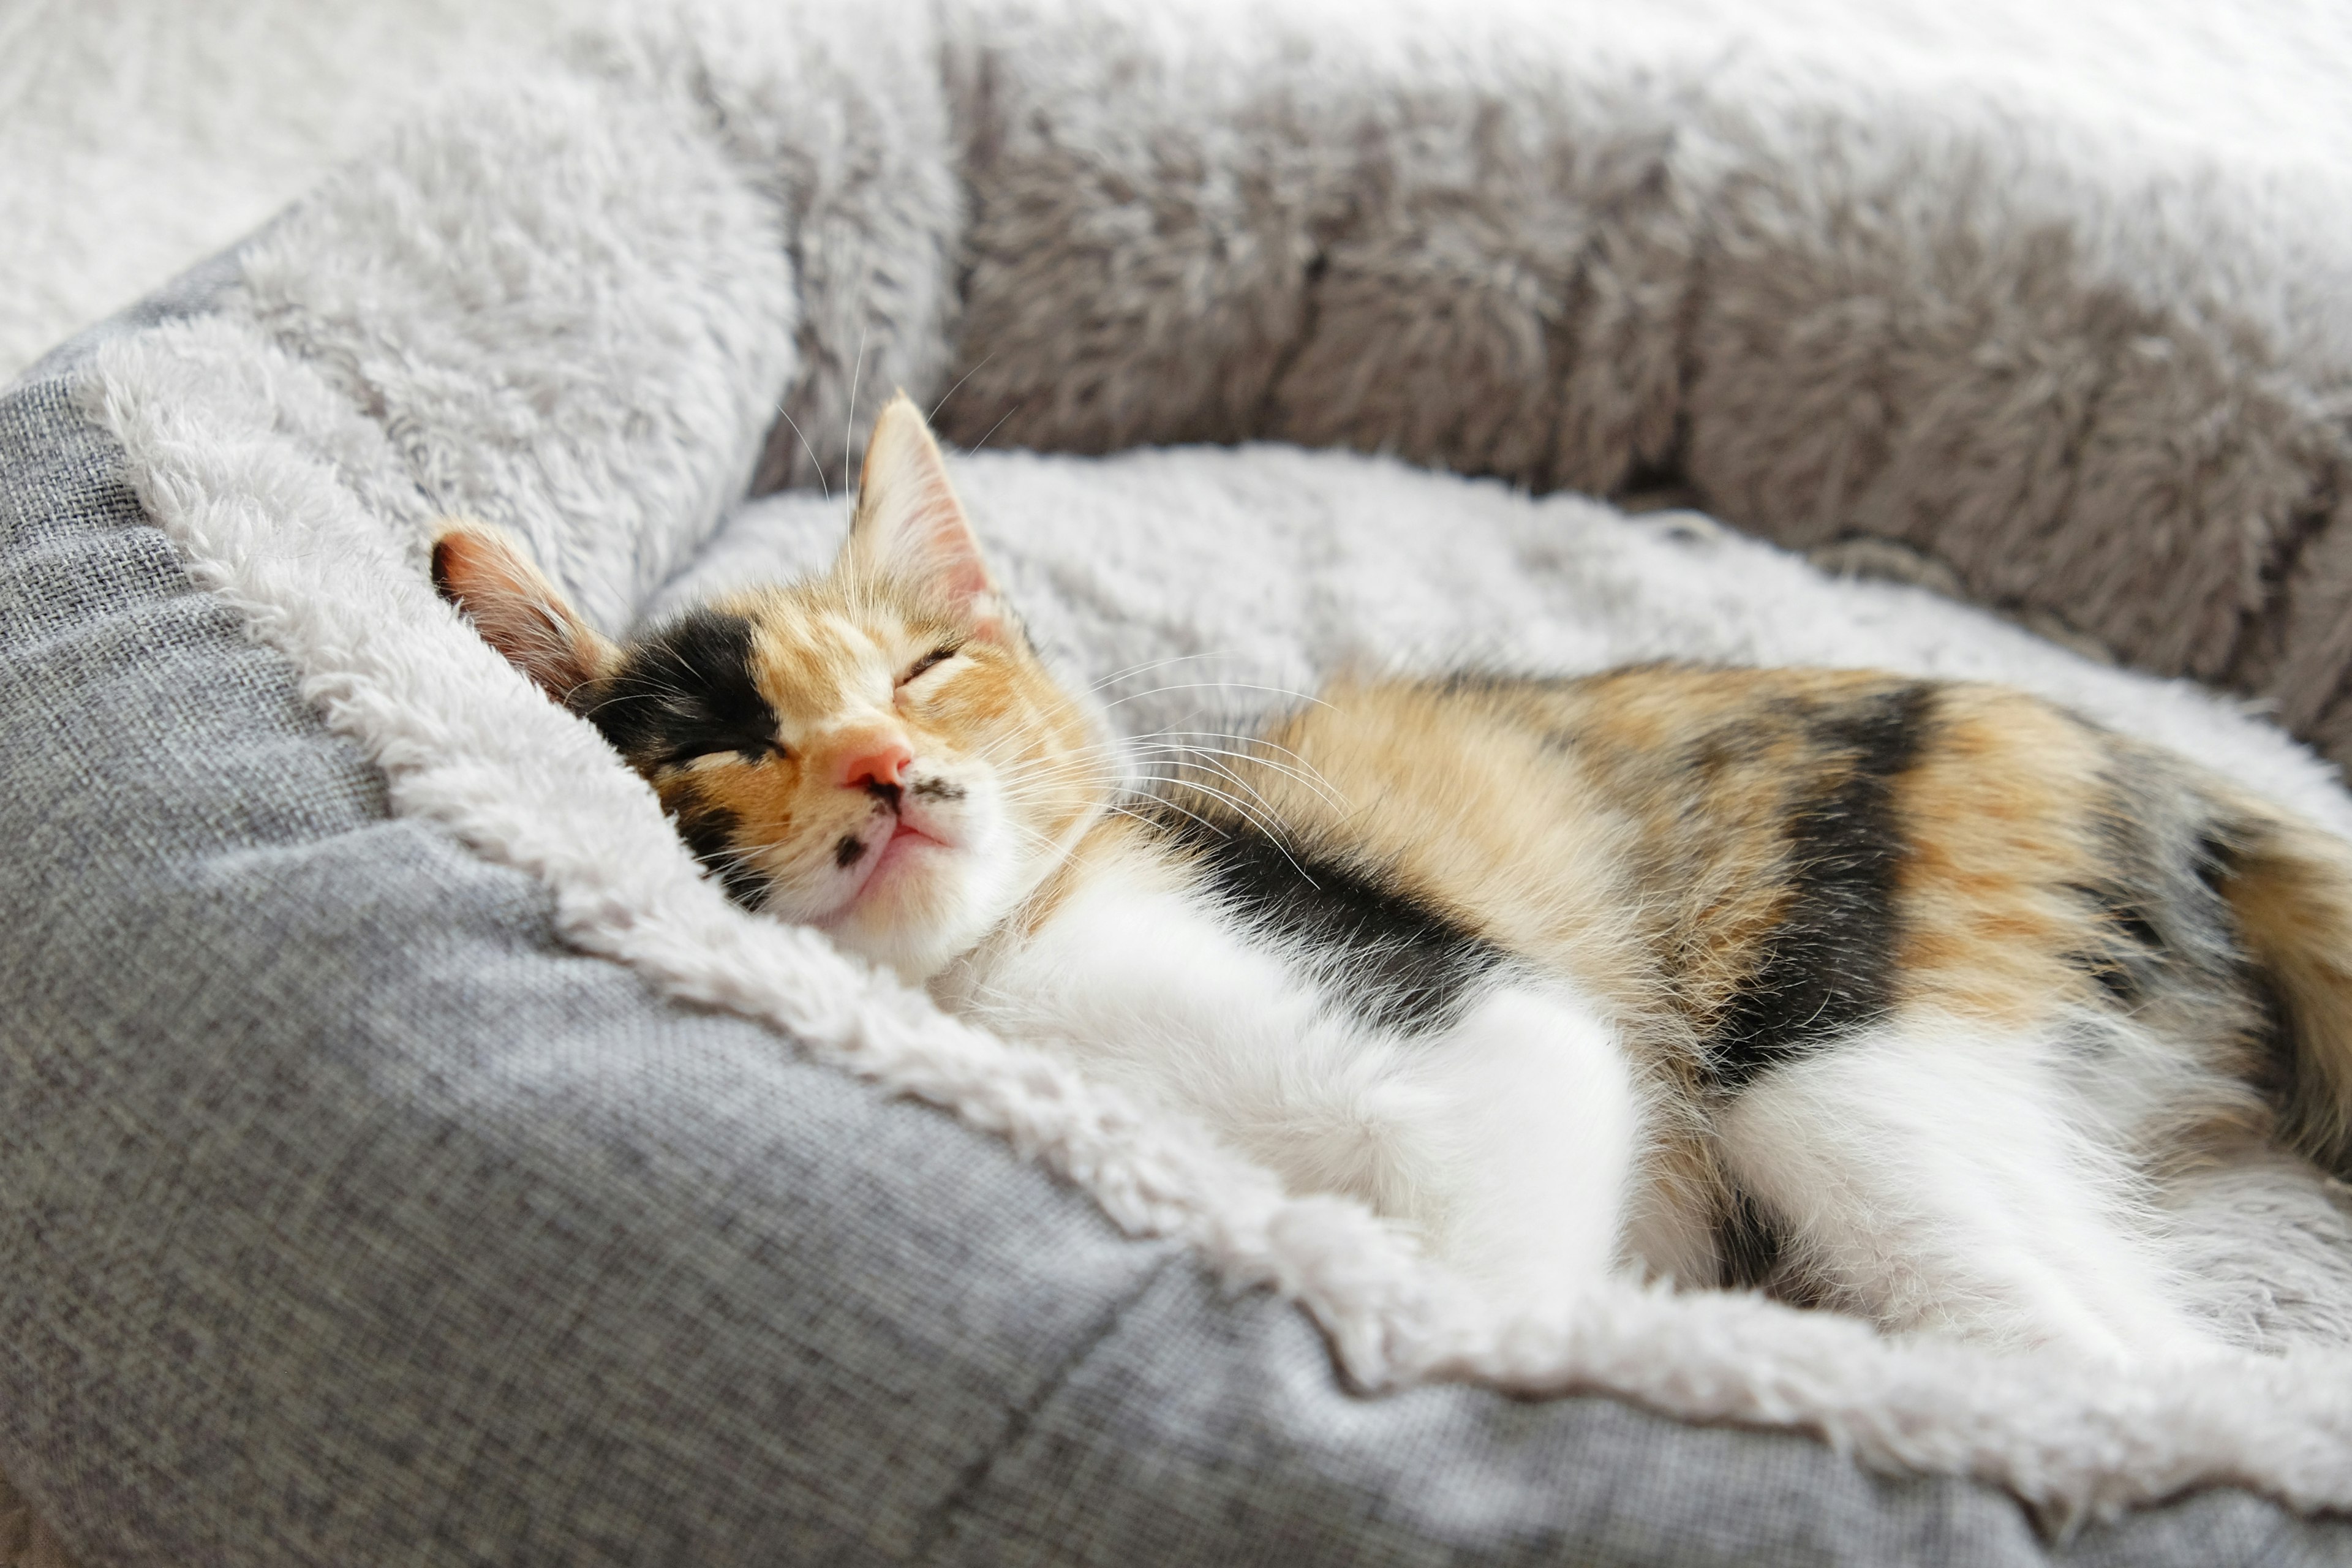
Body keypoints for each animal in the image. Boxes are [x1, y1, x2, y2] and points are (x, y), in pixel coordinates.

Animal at [432, 394, 2352, 1363]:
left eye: (921, 672)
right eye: (716, 753)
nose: (890, 773)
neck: (994, 993)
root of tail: (2166, 769)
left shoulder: (1470, 1007)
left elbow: (1486, 1271)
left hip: (1851, 1042)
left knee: (2133, 1366)